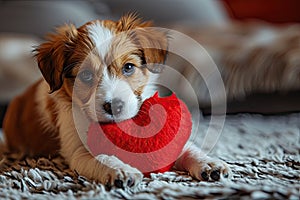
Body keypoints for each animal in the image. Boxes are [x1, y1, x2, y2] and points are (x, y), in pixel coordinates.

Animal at [2, 14, 230, 189]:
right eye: (86, 75)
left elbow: (188, 148)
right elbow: (102, 157)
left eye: (128, 67)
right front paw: (121, 170)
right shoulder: (77, 150)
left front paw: (209, 164)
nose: (114, 106)